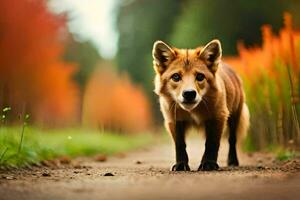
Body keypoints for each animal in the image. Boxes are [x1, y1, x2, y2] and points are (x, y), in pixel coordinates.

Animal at [152, 39, 248, 171]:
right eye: (176, 76)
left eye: (200, 76)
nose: (189, 94)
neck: (193, 112)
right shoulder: (174, 120)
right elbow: (180, 145)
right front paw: (181, 164)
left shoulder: (218, 117)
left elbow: (212, 144)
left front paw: (209, 163)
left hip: (234, 118)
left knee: (232, 140)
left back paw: (232, 161)